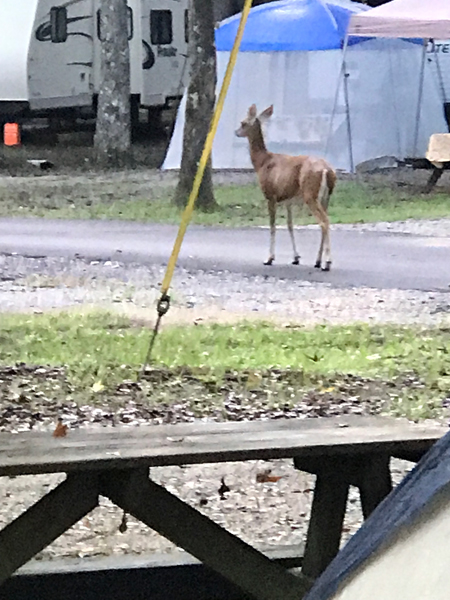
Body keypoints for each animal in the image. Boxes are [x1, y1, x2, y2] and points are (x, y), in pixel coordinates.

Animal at [237, 104, 336, 270]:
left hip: (310, 194)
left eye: (243, 123)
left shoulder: (270, 195)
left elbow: (272, 225)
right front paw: (296, 258)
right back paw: (317, 261)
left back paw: (327, 263)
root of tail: (326, 170)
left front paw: (269, 258)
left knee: (324, 222)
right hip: (326, 197)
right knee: (325, 220)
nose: (236, 132)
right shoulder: (287, 199)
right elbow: (290, 225)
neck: (262, 162)